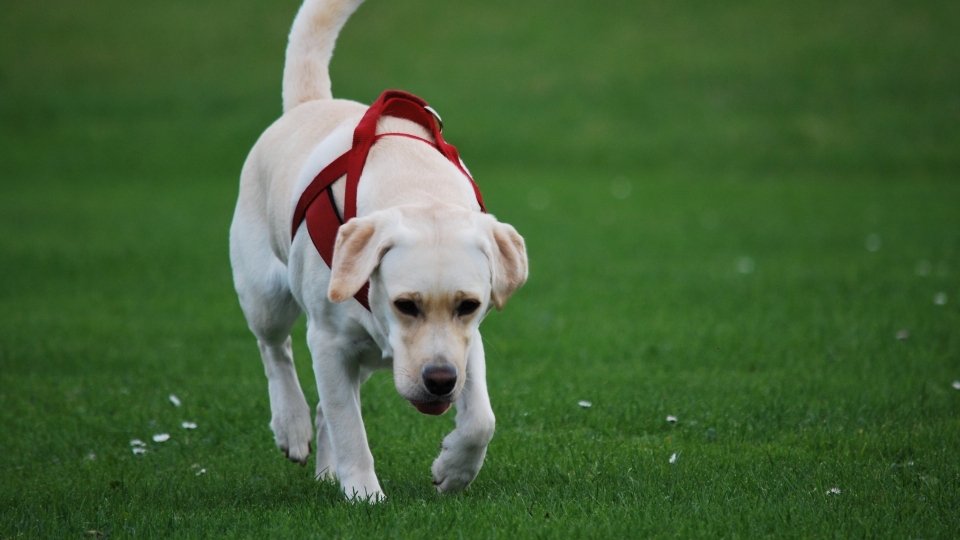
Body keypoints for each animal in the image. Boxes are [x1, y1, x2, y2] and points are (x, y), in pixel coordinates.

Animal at [229, 0, 528, 502]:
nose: (440, 380)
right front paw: (365, 495)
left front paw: (454, 470)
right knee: (276, 352)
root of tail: (311, 102)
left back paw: (325, 468)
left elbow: (481, 419)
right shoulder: (329, 341)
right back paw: (291, 426)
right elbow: (351, 428)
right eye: (405, 305)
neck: (417, 186)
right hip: (266, 295)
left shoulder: (467, 342)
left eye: (469, 305)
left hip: (367, 353)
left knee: (326, 405)